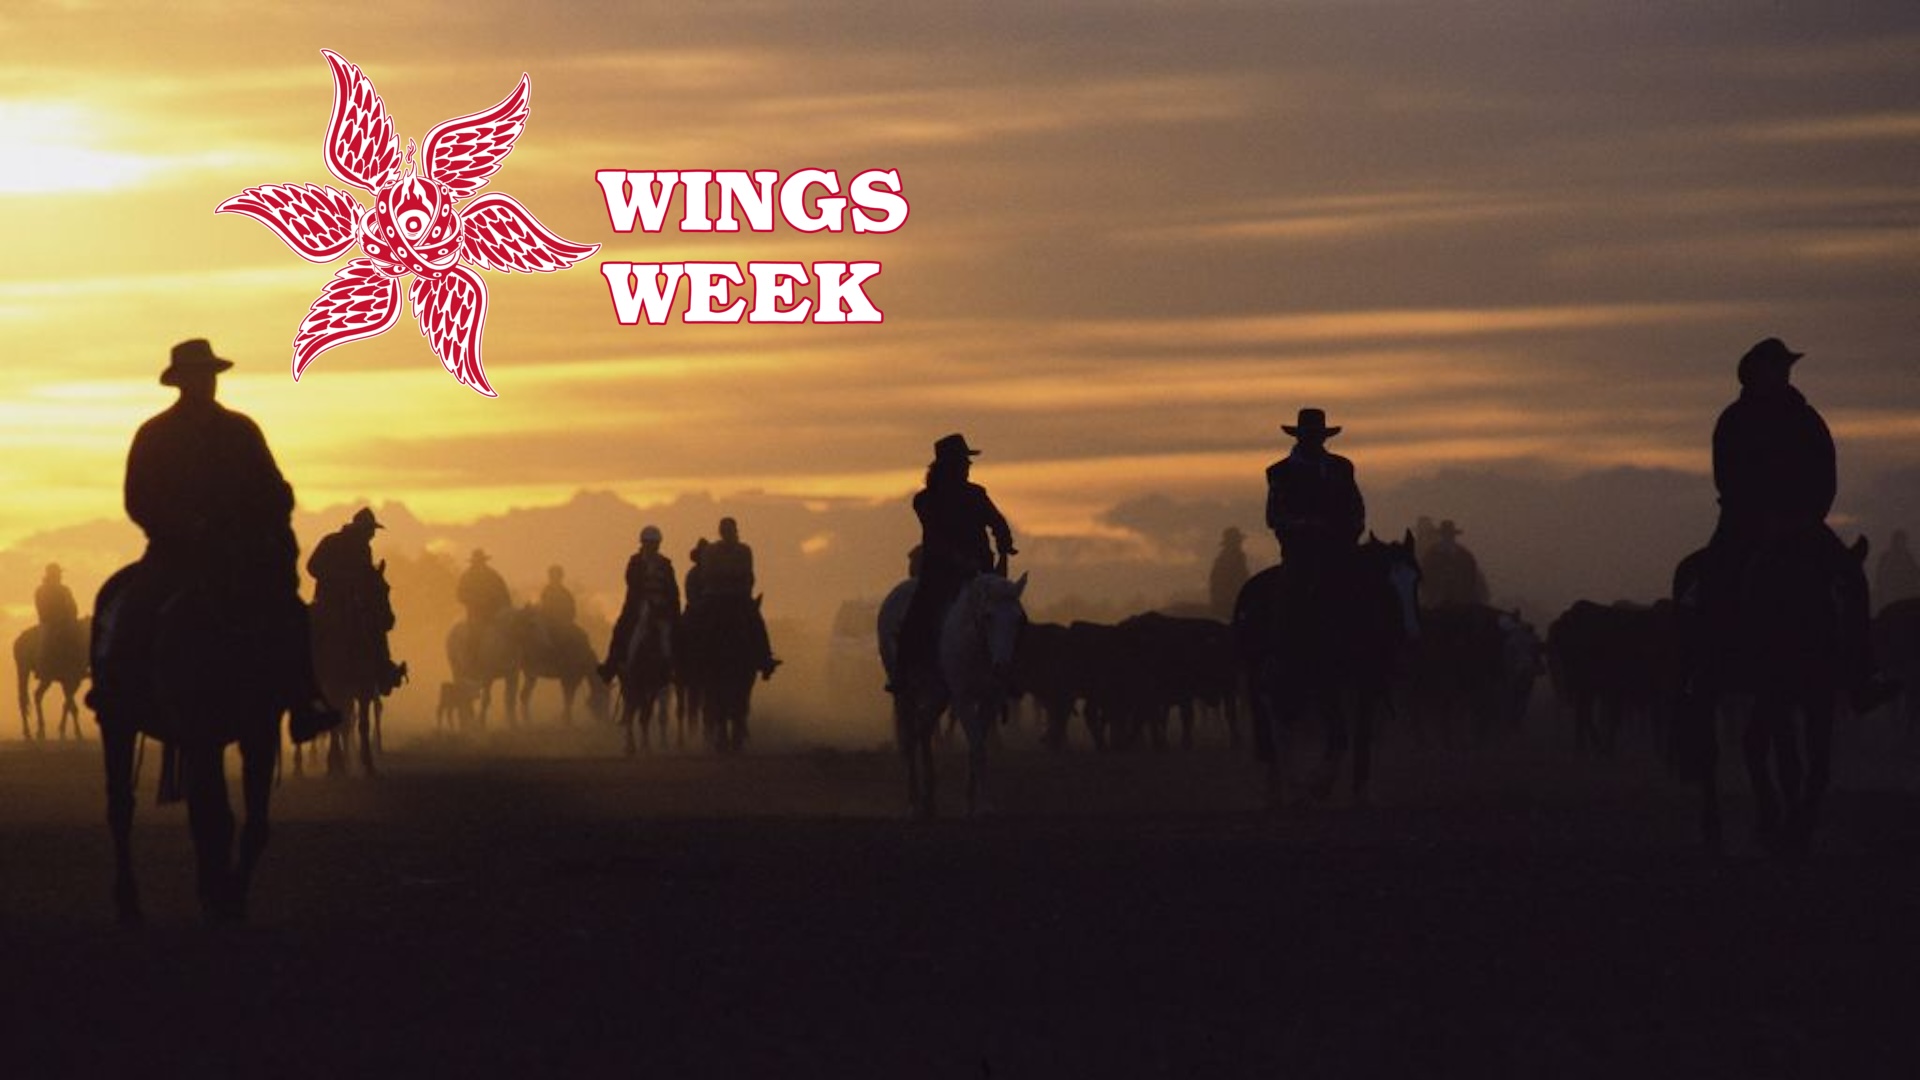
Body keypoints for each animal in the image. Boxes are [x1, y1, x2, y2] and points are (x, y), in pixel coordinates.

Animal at [90, 557, 286, 922]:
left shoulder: (258, 733)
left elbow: (252, 824)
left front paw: (230, 899)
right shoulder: (202, 731)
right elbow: (216, 815)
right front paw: (220, 898)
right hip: (117, 722)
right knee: (121, 806)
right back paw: (128, 902)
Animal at [879, 568, 1029, 810]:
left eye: (1018, 619)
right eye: (988, 616)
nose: (1002, 667)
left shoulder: (990, 699)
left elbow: (977, 746)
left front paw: (972, 800)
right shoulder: (963, 699)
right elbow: (977, 748)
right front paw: (985, 804)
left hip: (938, 695)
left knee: (923, 730)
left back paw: (929, 794)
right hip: (905, 693)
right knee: (910, 734)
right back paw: (914, 795)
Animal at [1228, 534, 1428, 803]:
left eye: (1417, 579)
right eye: (1385, 583)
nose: (1411, 637)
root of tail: (1248, 591)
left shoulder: (1366, 685)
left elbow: (1360, 737)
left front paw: (1360, 793)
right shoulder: (1326, 683)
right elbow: (1340, 737)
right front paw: (1318, 784)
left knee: (1284, 720)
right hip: (1263, 672)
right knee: (1272, 723)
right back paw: (1281, 786)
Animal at [1681, 534, 1858, 853]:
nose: (1842, 652)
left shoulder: (1818, 696)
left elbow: (1817, 763)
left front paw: (1799, 827)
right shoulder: (1777, 692)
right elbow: (1789, 763)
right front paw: (1793, 830)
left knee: (1752, 742)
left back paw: (1768, 818)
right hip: (1708, 686)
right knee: (1709, 750)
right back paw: (1714, 827)